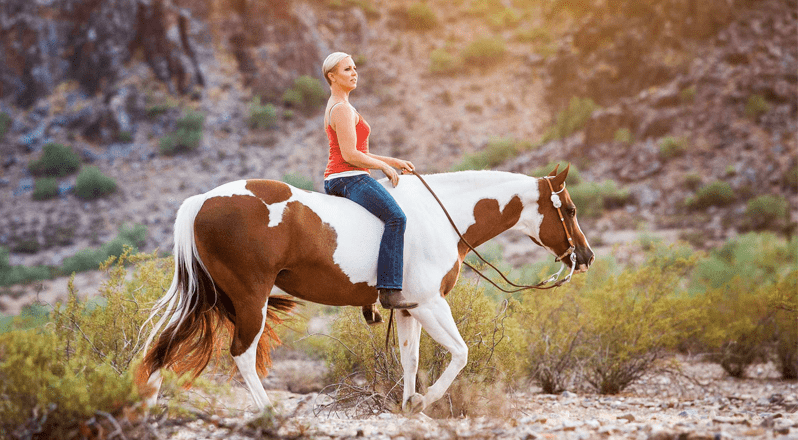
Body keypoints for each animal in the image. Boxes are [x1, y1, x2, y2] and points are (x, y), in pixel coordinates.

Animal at [136, 164, 592, 412]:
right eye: (569, 210)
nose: (585, 257)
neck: (441, 216)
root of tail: (201, 201)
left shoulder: (409, 308)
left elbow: (410, 361)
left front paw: (408, 407)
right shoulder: (431, 304)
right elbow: (461, 354)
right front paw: (423, 402)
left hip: (211, 298)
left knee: (164, 344)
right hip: (250, 300)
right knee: (242, 356)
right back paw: (268, 415)